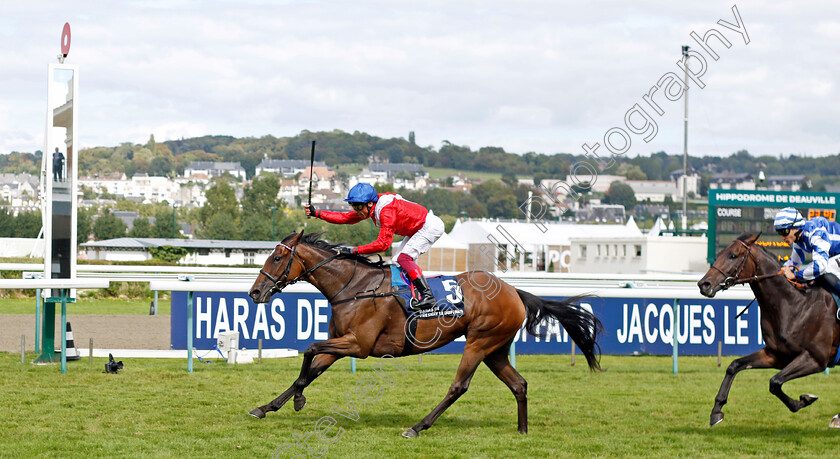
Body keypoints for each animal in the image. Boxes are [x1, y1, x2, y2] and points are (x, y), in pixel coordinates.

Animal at [246, 232, 600, 436]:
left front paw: (298, 400)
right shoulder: (341, 343)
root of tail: (514, 291)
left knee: (459, 386)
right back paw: (522, 431)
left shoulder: (358, 345)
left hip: (479, 342)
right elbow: (310, 369)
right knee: (519, 384)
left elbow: (308, 349)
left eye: (277, 257)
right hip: (496, 349)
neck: (354, 287)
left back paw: (418, 426)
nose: (255, 292)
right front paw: (266, 407)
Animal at [696, 232, 840, 430]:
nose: (703, 284)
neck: (795, 304)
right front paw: (716, 411)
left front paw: (803, 400)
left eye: (733, 255)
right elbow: (734, 365)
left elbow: (775, 382)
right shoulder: (776, 355)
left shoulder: (816, 358)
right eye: (718, 254)